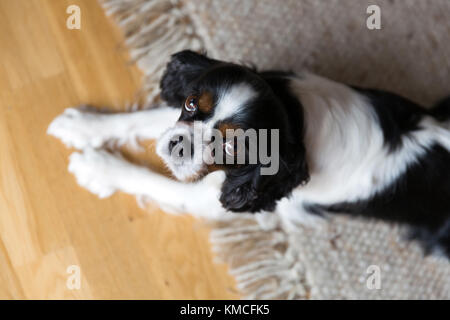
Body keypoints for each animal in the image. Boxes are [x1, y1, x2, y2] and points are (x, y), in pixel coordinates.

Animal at [48, 50, 450, 258]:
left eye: (231, 146)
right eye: (191, 103)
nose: (179, 145)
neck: (297, 119)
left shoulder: (217, 195)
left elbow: (154, 180)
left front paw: (97, 167)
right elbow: (145, 120)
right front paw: (83, 126)